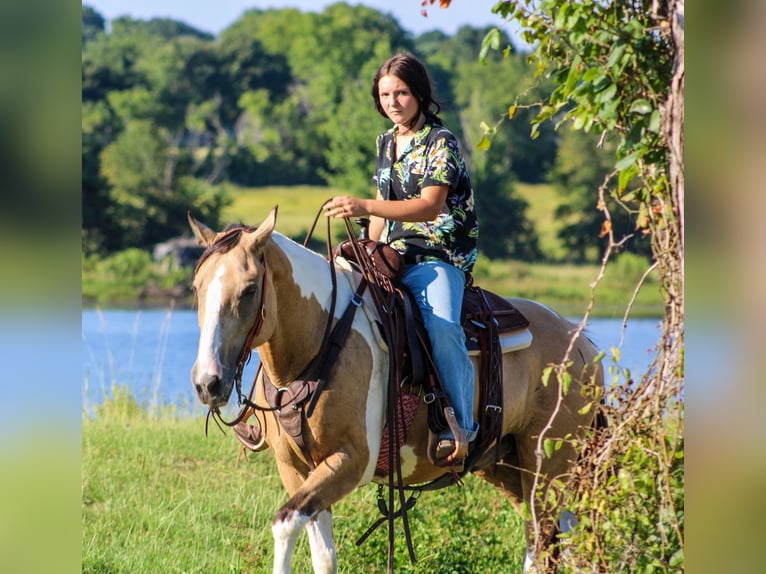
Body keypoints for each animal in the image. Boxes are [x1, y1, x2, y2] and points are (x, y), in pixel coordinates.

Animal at [188, 206, 603, 573]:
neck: (323, 335)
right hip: (508, 466)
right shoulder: (296, 468)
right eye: (197, 287)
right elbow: (323, 555)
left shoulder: (352, 460)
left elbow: (285, 523)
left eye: (249, 289)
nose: (208, 383)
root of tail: (581, 343)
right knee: (545, 544)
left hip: (549, 466)